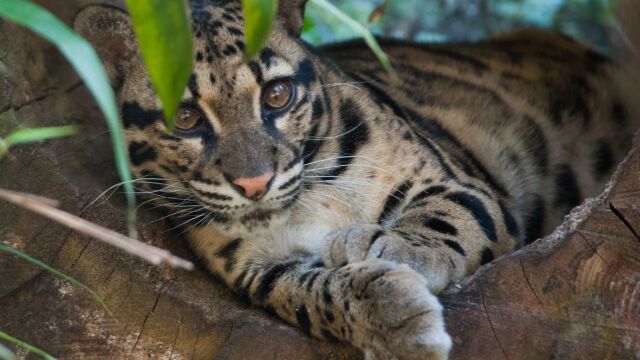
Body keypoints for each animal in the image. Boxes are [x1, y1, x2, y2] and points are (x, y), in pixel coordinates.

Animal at [72, 1, 636, 358]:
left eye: (277, 95)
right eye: (185, 119)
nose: (255, 183)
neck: (308, 198)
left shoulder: (458, 180)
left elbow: (444, 217)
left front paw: (395, 247)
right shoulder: (255, 268)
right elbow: (309, 292)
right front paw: (397, 318)